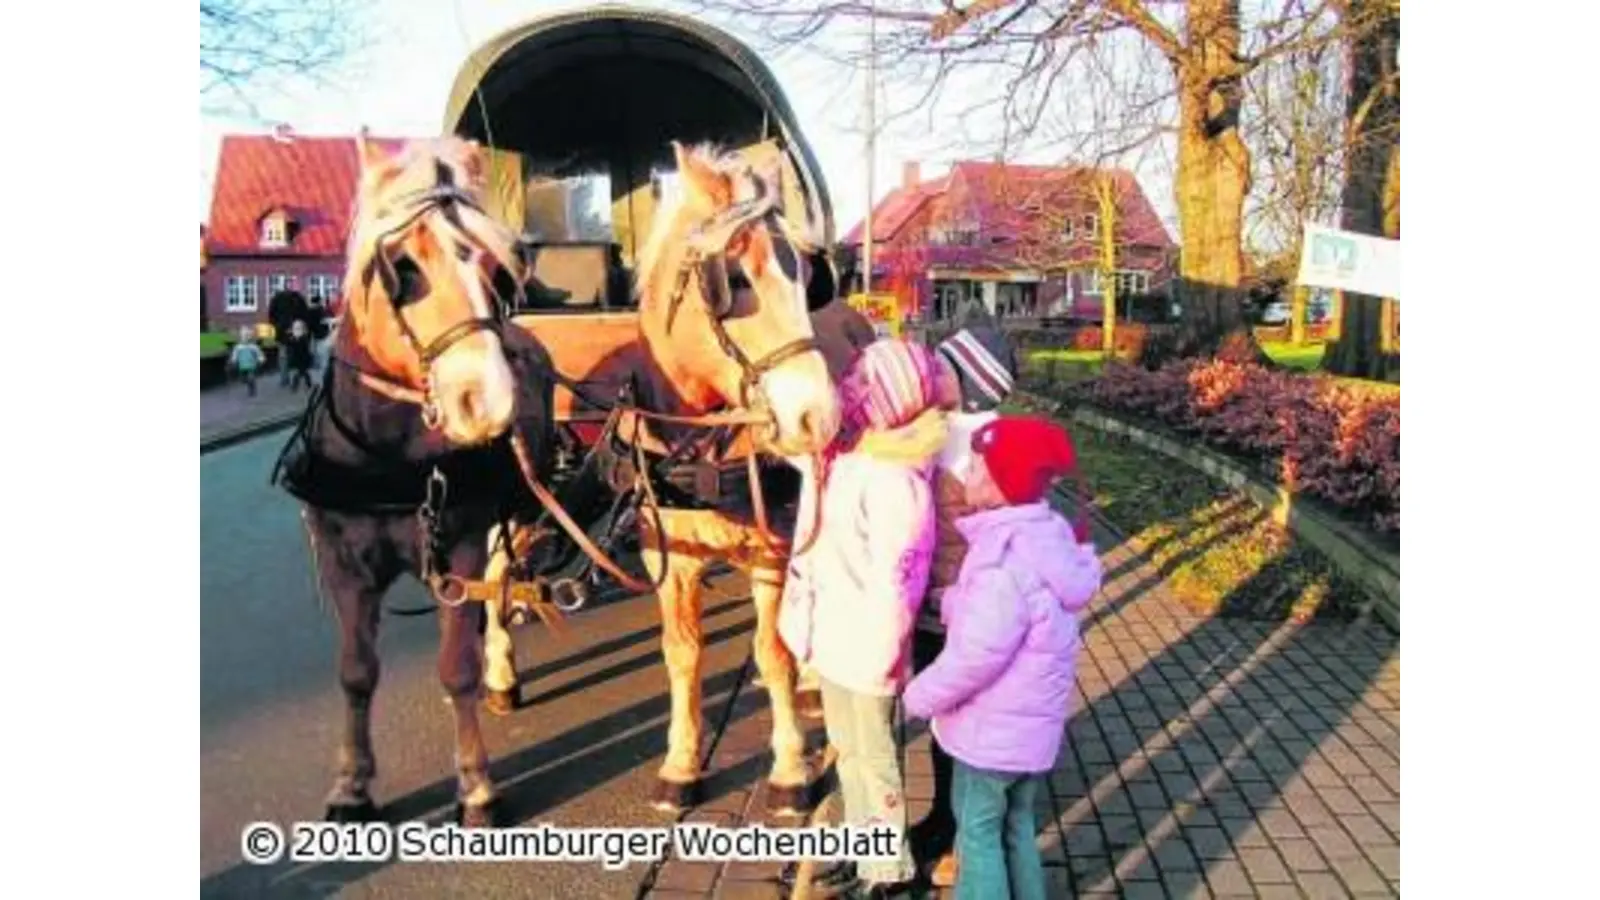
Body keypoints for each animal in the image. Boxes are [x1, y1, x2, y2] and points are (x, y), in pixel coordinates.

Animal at [270, 132, 556, 826]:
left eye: (501, 270)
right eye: (402, 268)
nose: (488, 404)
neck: (385, 460)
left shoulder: (461, 545)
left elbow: (456, 668)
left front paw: (475, 785)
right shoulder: (344, 565)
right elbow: (355, 672)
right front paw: (351, 784)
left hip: (509, 515)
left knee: (501, 586)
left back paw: (502, 671)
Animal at [476, 140, 851, 813]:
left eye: (805, 277)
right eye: (734, 280)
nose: (816, 416)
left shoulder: (772, 549)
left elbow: (773, 652)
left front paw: (789, 769)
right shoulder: (668, 554)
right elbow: (682, 653)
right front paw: (681, 764)